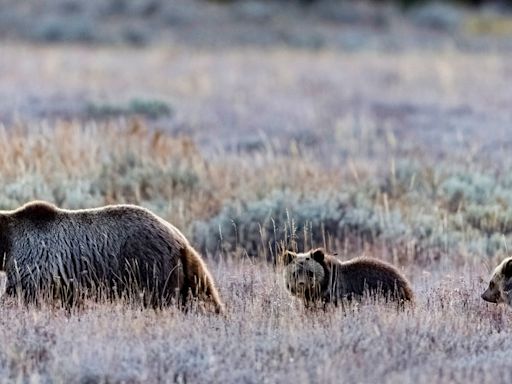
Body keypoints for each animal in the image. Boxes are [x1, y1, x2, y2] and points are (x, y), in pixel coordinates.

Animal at [0, 201, 226, 312]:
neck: (7, 244)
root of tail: (179, 238)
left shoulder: (34, 262)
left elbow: (22, 294)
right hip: (184, 268)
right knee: (201, 293)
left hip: (148, 265)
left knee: (160, 298)